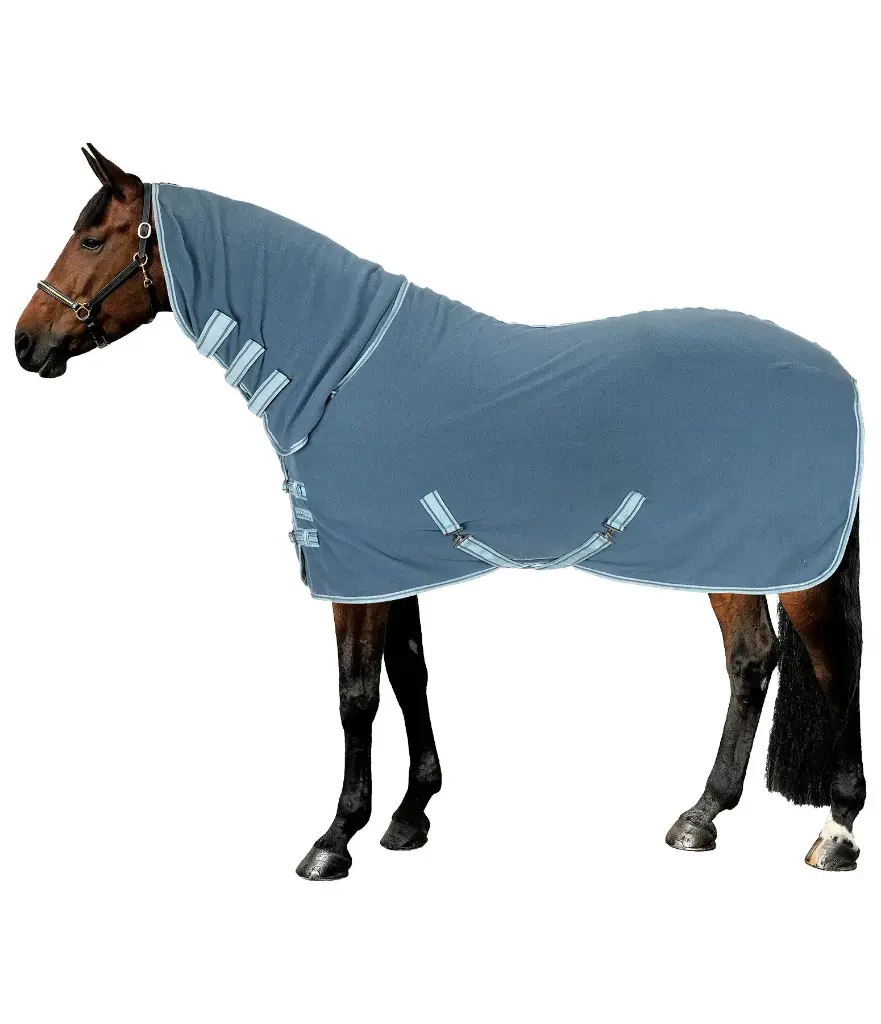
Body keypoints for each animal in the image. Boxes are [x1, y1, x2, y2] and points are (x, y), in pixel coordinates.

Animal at [15, 145, 865, 879]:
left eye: (92, 237)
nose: (26, 343)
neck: (343, 373)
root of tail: (840, 375)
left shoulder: (353, 572)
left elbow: (356, 695)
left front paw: (335, 839)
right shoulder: (388, 566)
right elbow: (409, 674)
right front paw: (409, 815)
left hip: (793, 565)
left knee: (834, 661)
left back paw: (836, 830)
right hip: (730, 558)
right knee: (751, 660)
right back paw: (700, 816)